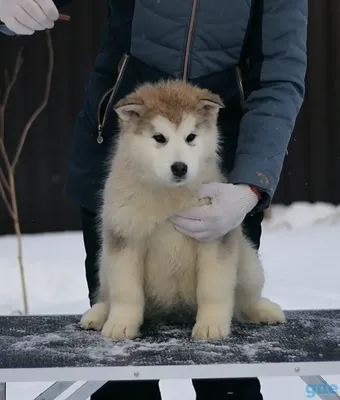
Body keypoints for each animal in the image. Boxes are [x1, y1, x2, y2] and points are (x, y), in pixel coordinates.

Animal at [79, 79, 284, 340]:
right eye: (159, 137)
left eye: (191, 137)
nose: (179, 167)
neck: (169, 197)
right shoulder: (125, 235)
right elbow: (126, 292)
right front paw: (121, 324)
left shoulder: (214, 238)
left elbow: (212, 289)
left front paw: (211, 326)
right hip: (104, 262)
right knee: (108, 295)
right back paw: (98, 314)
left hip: (248, 263)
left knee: (244, 300)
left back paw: (264, 310)